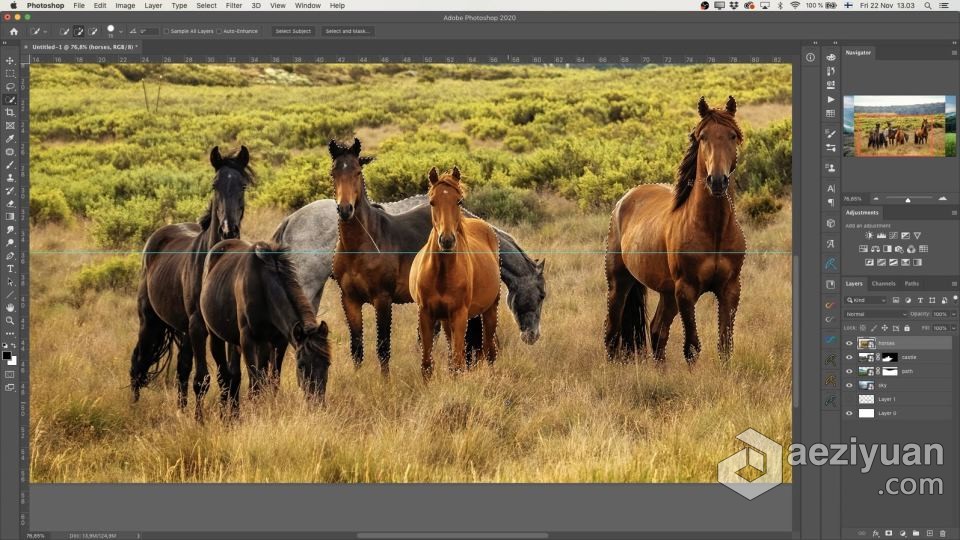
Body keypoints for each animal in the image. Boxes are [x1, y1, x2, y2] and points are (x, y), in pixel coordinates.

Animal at [129, 144, 253, 418]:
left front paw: (232, 416)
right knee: (138, 363)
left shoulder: (226, 329)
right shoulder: (198, 326)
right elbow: (204, 379)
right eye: (215, 184)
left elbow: (231, 376)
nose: (229, 230)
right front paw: (200, 421)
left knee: (181, 370)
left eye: (243, 185)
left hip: (183, 331)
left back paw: (181, 410)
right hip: (150, 322)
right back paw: (134, 407)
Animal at [201, 240, 332, 414]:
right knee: (224, 376)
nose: (317, 404)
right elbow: (255, 383)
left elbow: (272, 381)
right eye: (301, 366)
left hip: (245, 343)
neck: (263, 287)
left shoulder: (279, 341)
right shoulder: (247, 340)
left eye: (328, 364)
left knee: (236, 375)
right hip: (216, 337)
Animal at [410, 167, 502, 378]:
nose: (447, 240)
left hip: (490, 309)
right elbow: (427, 364)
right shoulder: (426, 314)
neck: (441, 274)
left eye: (459, 201)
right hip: (446, 320)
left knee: (488, 351)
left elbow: (458, 363)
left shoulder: (460, 315)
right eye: (432, 202)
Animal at [604, 97, 748, 364]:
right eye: (703, 137)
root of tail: (625, 199)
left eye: (732, 136)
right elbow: (692, 347)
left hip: (667, 293)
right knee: (612, 330)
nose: (717, 181)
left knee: (656, 330)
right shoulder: (686, 292)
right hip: (620, 283)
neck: (713, 229)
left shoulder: (730, 289)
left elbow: (725, 346)